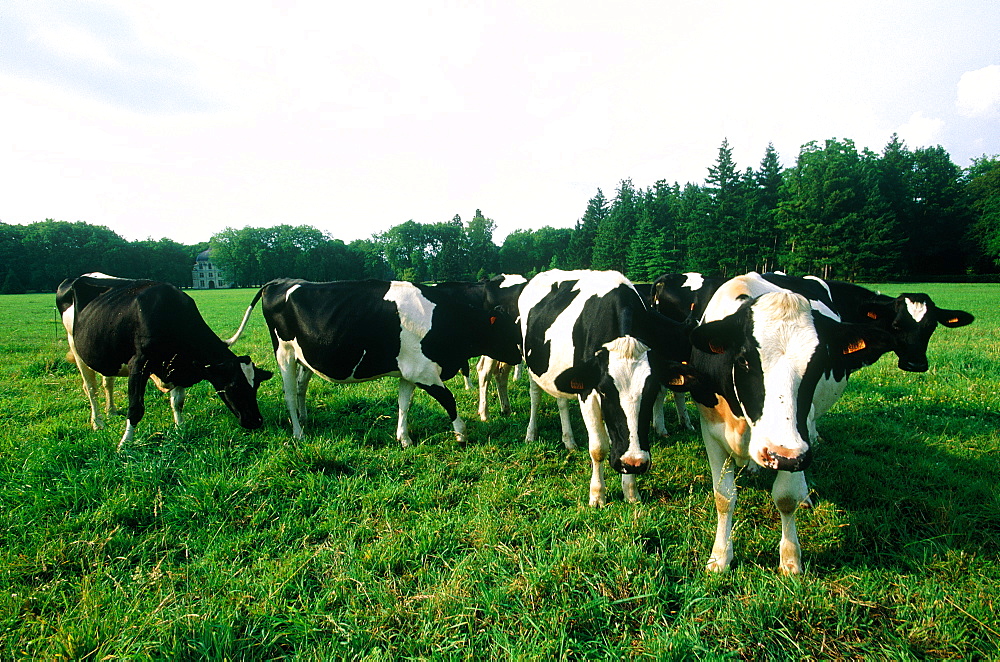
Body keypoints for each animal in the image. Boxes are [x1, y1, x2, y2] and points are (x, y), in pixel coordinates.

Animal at [62, 274, 274, 452]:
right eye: (234, 386)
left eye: (256, 386)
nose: (256, 421)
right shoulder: (139, 365)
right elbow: (136, 407)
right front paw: (124, 444)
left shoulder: (180, 368)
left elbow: (177, 402)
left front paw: (180, 429)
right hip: (76, 347)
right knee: (91, 388)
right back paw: (98, 422)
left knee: (108, 382)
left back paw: (111, 412)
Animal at [229, 278, 524, 446]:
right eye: (507, 329)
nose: (522, 355)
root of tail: (278, 282)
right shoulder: (425, 372)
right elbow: (448, 400)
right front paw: (461, 434)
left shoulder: (409, 371)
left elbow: (404, 404)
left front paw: (404, 439)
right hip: (285, 354)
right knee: (289, 394)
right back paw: (298, 433)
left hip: (303, 357)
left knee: (300, 389)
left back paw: (304, 418)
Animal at [516, 270, 696, 508]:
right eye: (604, 391)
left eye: (651, 392)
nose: (634, 462)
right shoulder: (587, 391)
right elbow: (598, 448)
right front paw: (597, 495)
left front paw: (631, 491)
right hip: (531, 364)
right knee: (535, 396)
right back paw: (531, 433)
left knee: (561, 401)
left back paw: (569, 440)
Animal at [688, 274, 900, 576]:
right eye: (744, 360)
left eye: (820, 363)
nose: (780, 455)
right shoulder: (711, 430)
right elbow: (724, 497)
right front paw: (720, 557)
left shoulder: (798, 443)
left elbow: (786, 498)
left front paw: (790, 560)